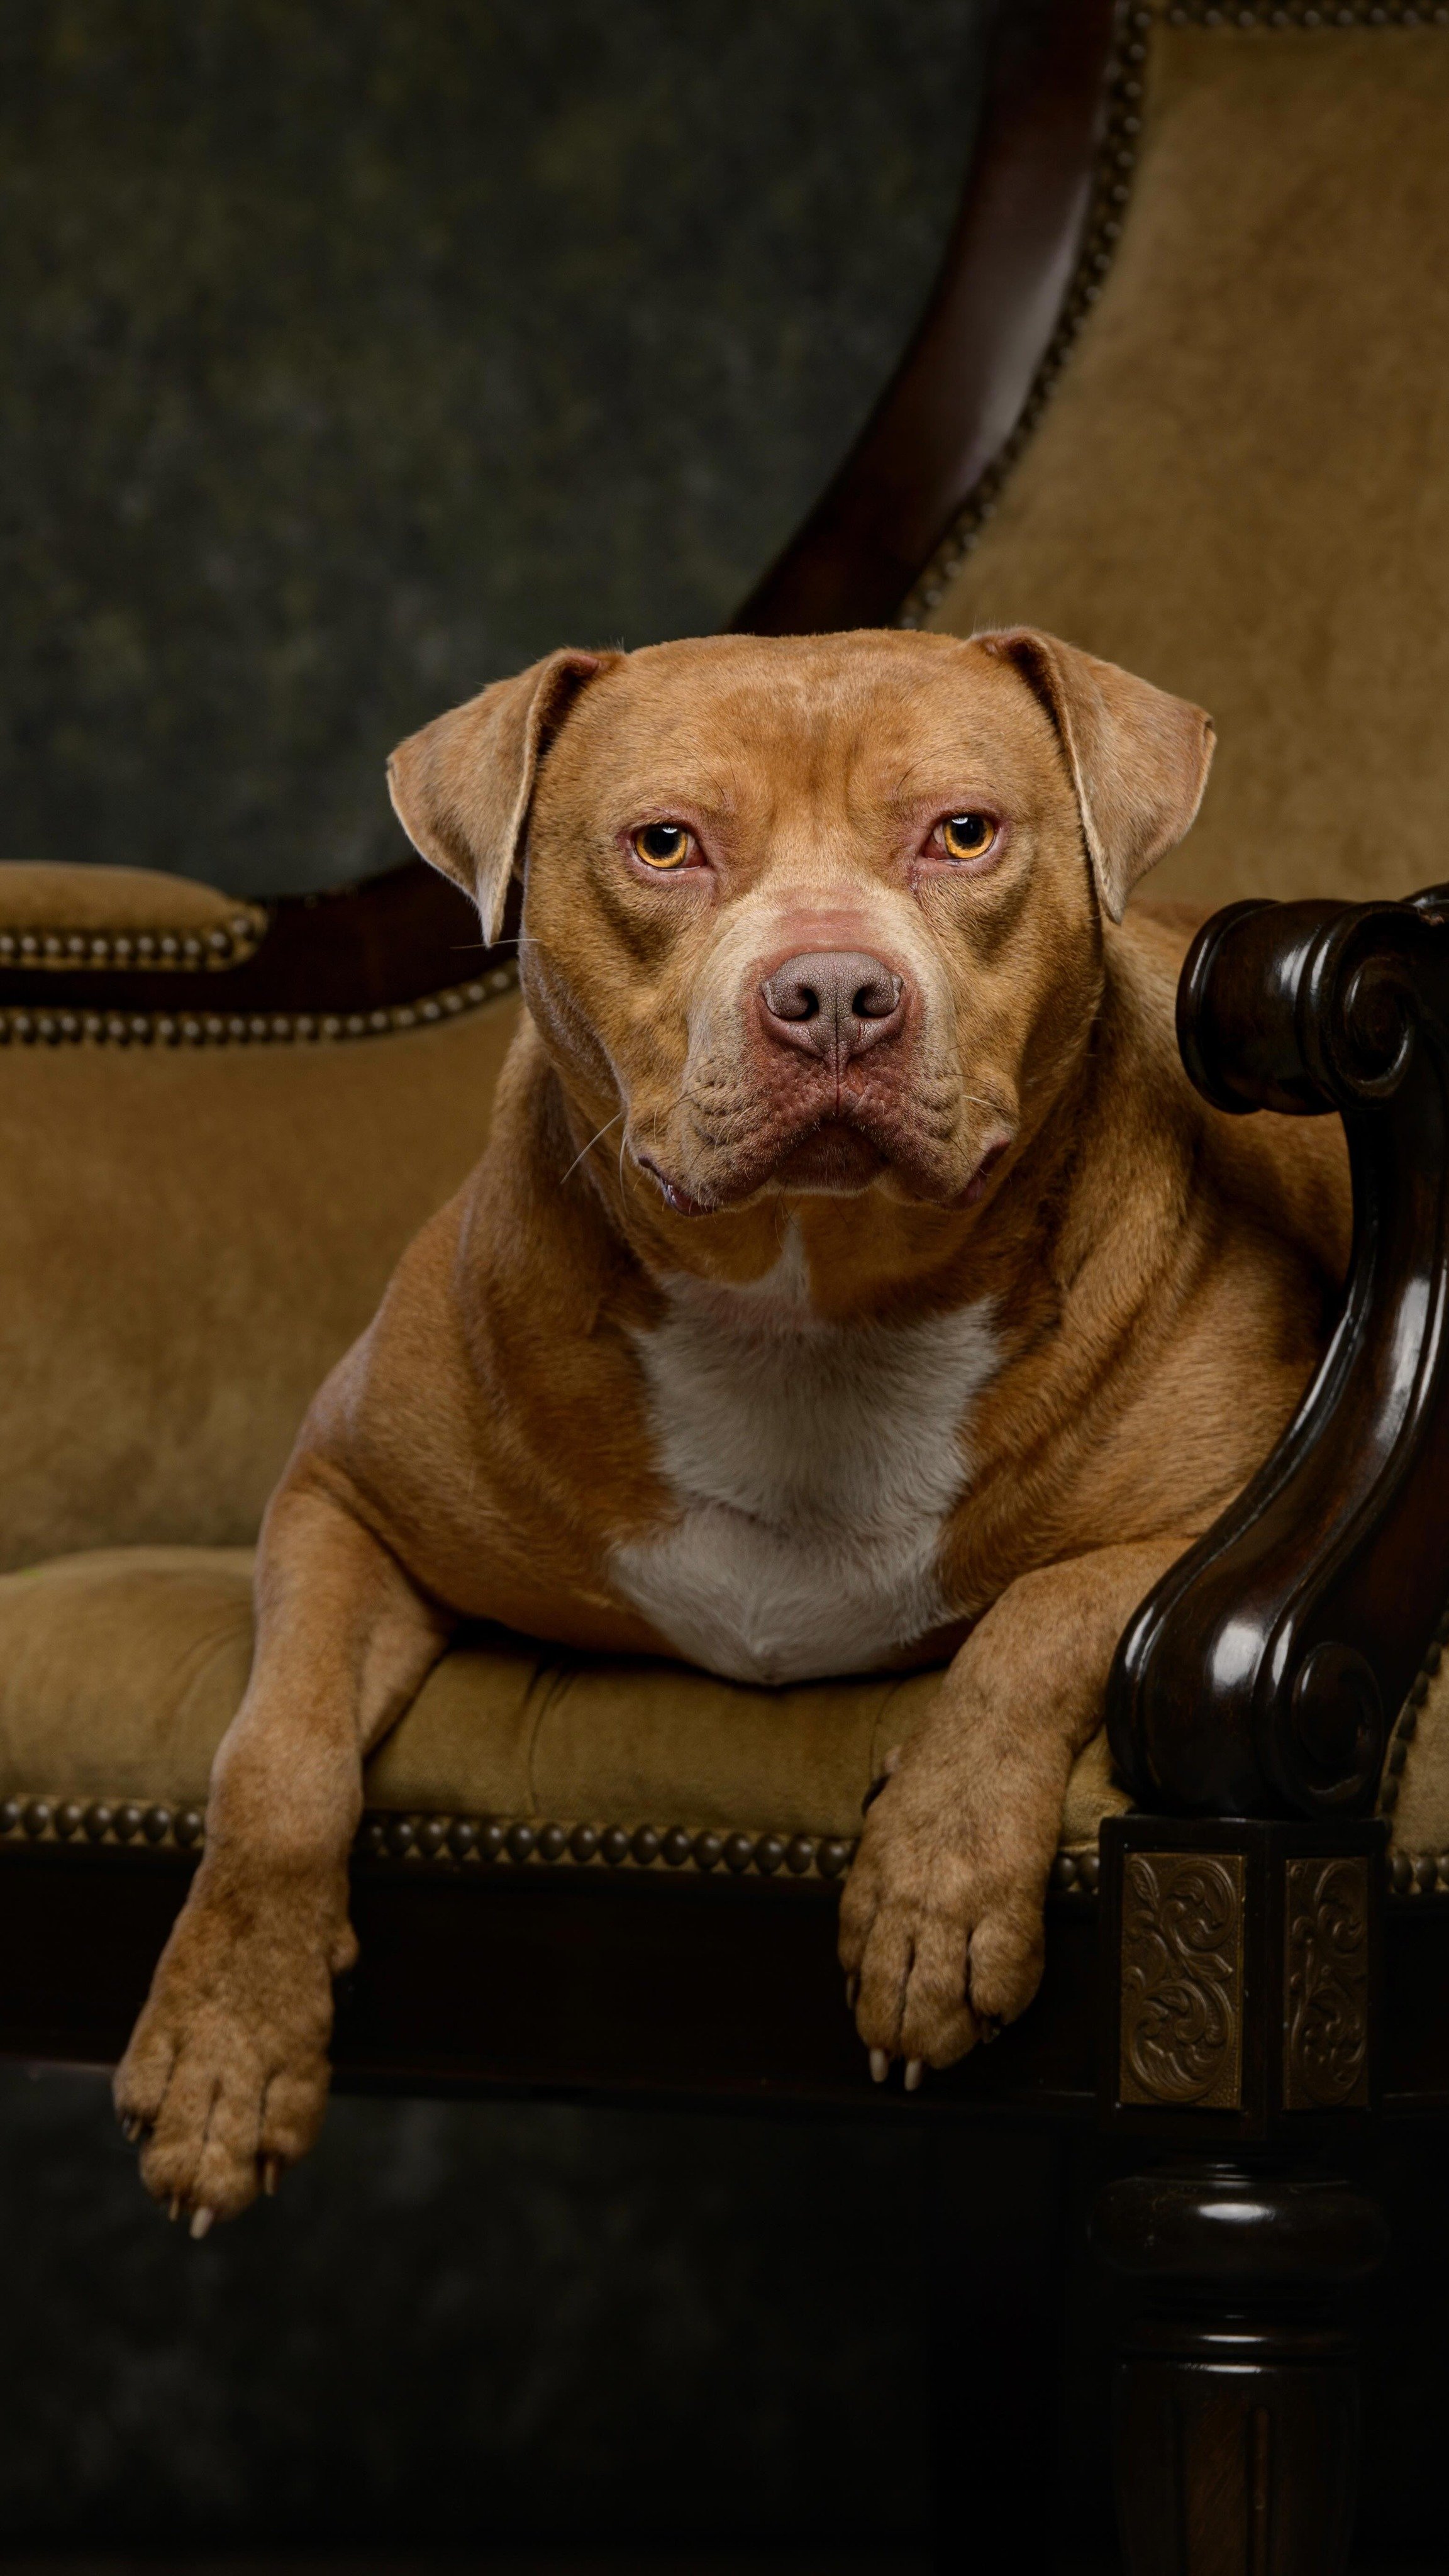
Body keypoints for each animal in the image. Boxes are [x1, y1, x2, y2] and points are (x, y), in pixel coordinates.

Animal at [113, 626, 1349, 2230]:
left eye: (964, 833)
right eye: (665, 845)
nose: (830, 993)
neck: (807, 1304)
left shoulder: (1230, 1504)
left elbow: (1047, 1614)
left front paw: (936, 1889)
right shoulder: (340, 1497)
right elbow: (277, 1753)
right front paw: (224, 2045)